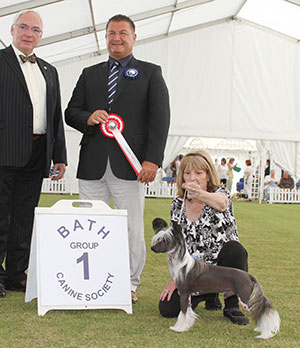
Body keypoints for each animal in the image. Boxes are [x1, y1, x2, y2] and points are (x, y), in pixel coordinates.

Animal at [151, 219, 280, 338]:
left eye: (164, 240)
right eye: (158, 238)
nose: (152, 248)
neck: (181, 263)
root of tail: (248, 276)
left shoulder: (183, 293)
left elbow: (182, 313)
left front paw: (179, 328)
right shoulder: (188, 296)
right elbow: (187, 312)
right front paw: (186, 326)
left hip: (246, 298)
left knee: (263, 311)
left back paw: (265, 334)